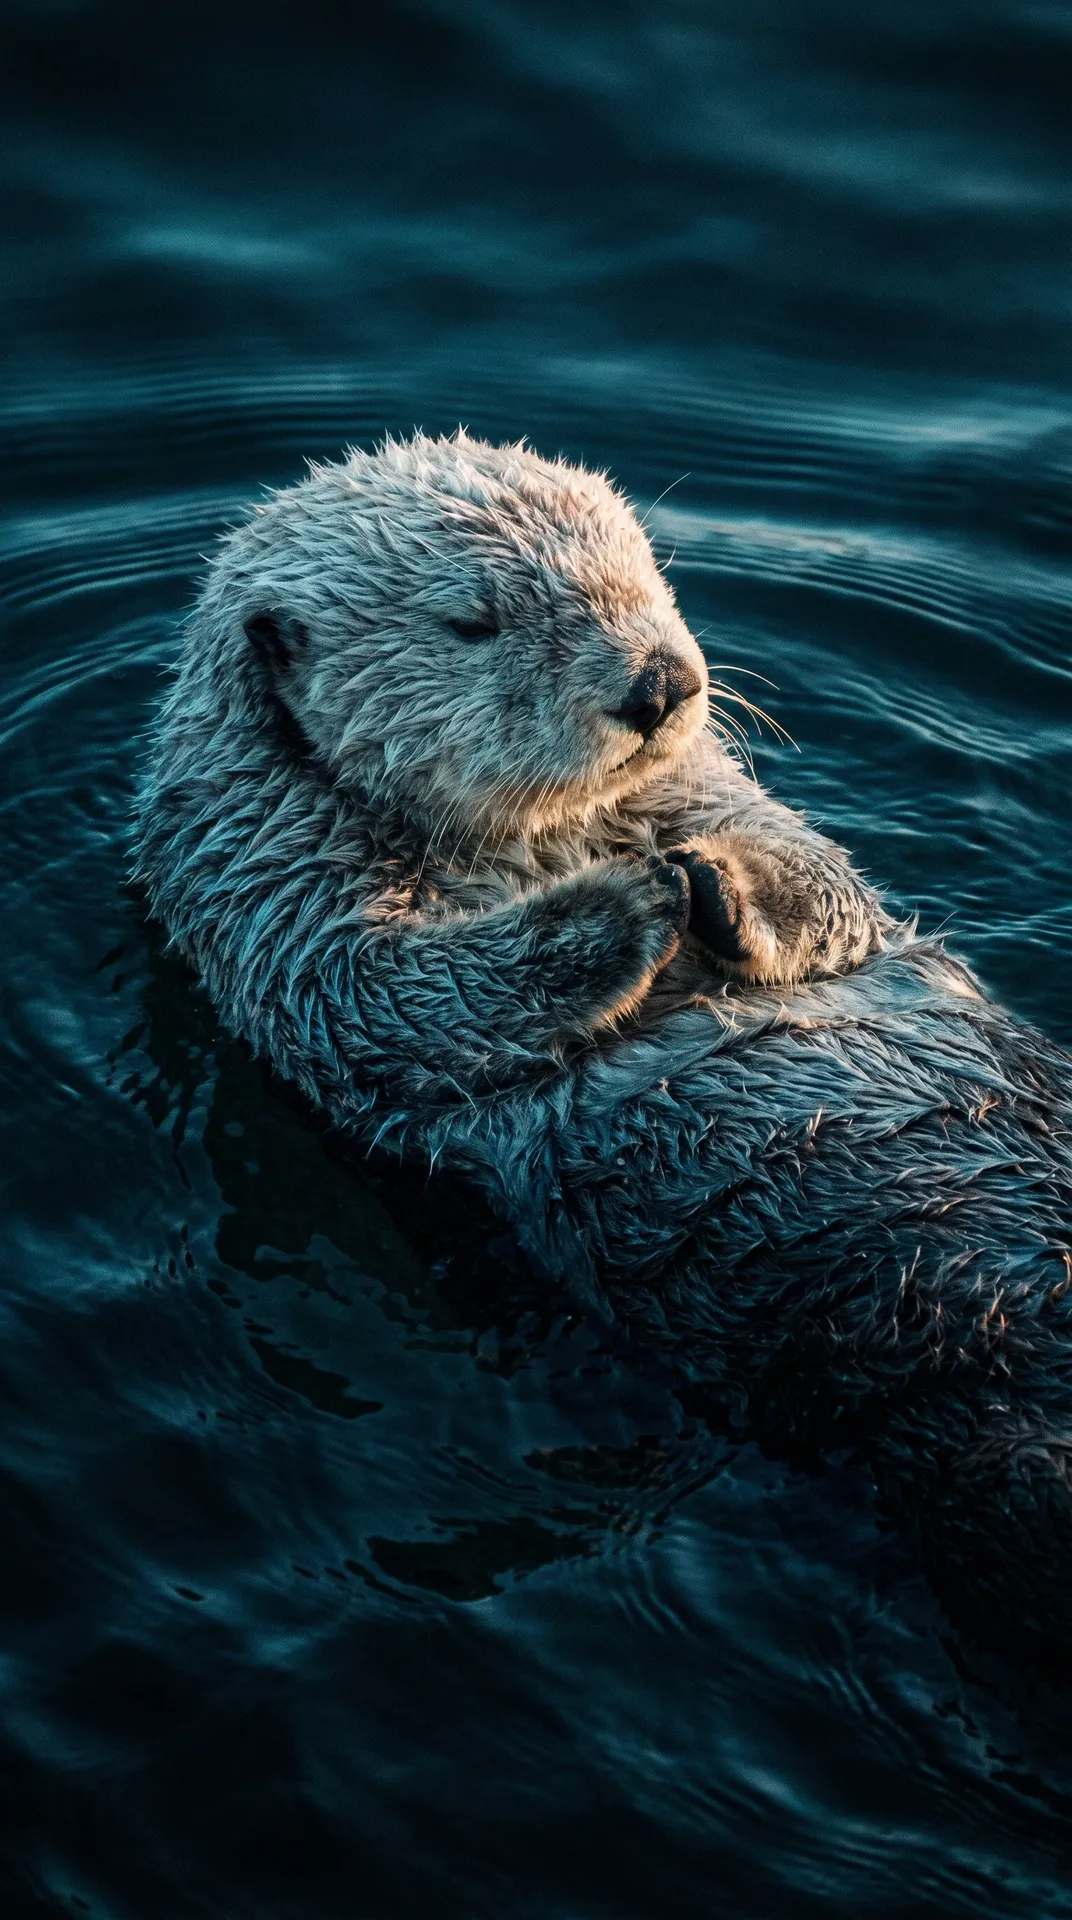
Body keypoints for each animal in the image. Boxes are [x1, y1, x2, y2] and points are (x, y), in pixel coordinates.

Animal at [135, 432, 1072, 1659]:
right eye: (472, 622)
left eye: (642, 574)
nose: (661, 682)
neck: (540, 843)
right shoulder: (267, 897)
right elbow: (386, 996)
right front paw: (624, 906)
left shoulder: (719, 795)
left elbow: (828, 887)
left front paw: (719, 881)